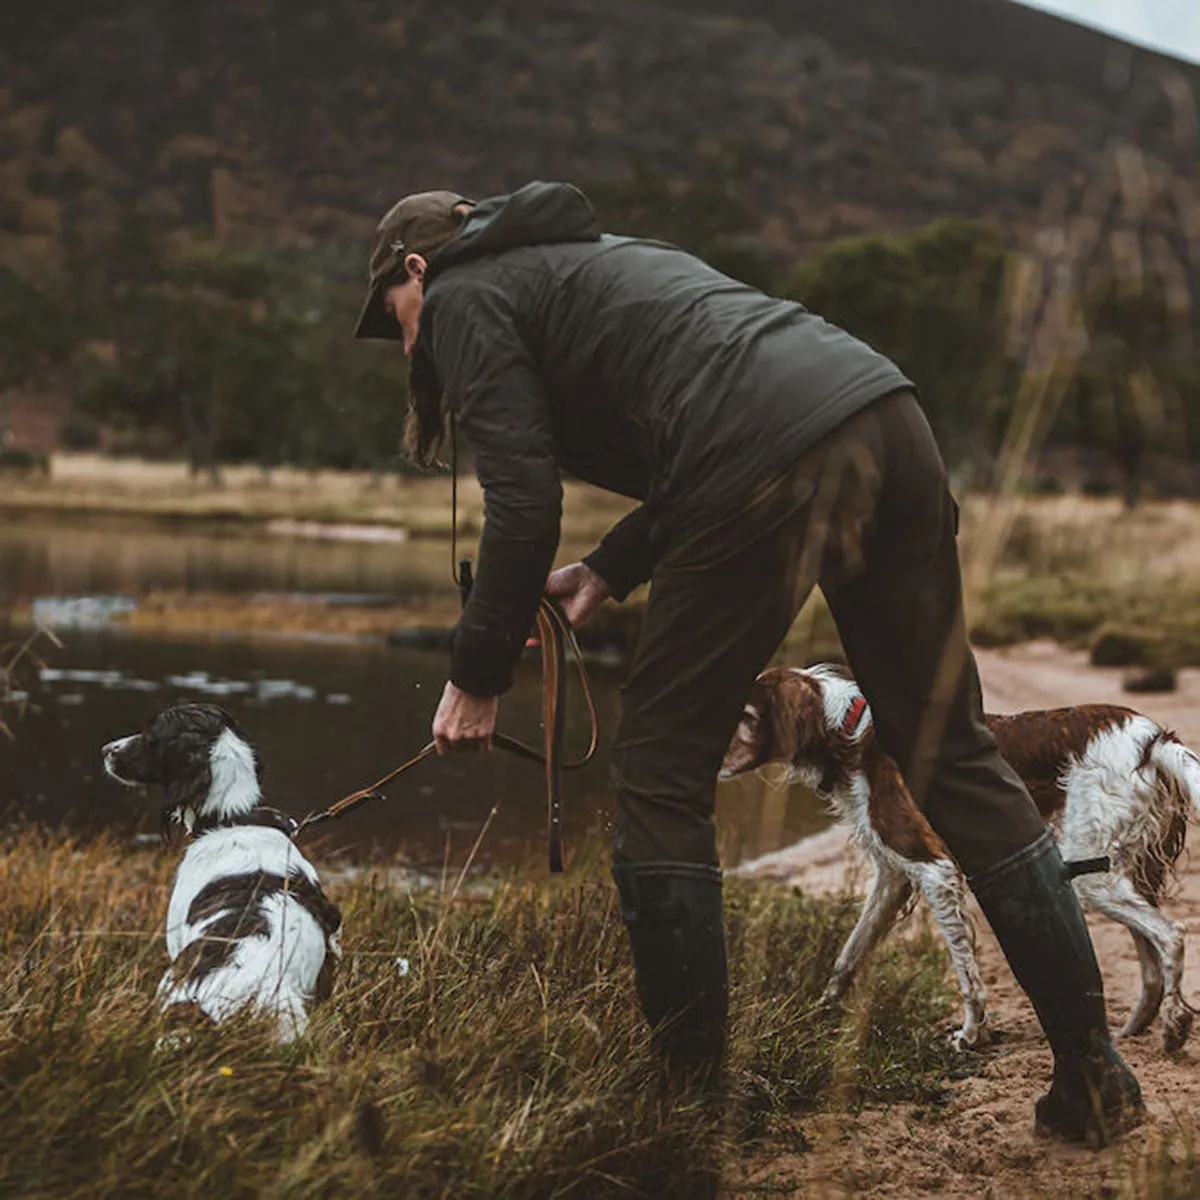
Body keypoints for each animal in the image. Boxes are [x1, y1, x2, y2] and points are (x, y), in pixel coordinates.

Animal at [720, 672, 1200, 1056]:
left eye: (746, 715)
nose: (712, 763)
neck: (848, 733)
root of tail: (1152, 739)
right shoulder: (893, 876)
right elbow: (849, 953)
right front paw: (818, 1011)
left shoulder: (935, 868)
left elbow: (966, 973)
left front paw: (970, 1035)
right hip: (1124, 872)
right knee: (1151, 961)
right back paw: (1133, 1030)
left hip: (1092, 873)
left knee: (1171, 935)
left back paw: (1174, 1026)